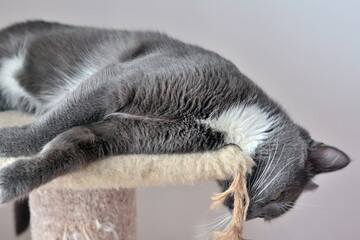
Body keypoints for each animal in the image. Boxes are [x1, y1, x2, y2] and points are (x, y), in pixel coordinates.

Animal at [0, 21, 350, 232]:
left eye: (266, 216)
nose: (247, 216)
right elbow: (49, 127)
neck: (227, 123)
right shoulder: (120, 81)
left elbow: (74, 144)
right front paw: (8, 144)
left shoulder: (128, 133)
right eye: (278, 198)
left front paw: (14, 180)